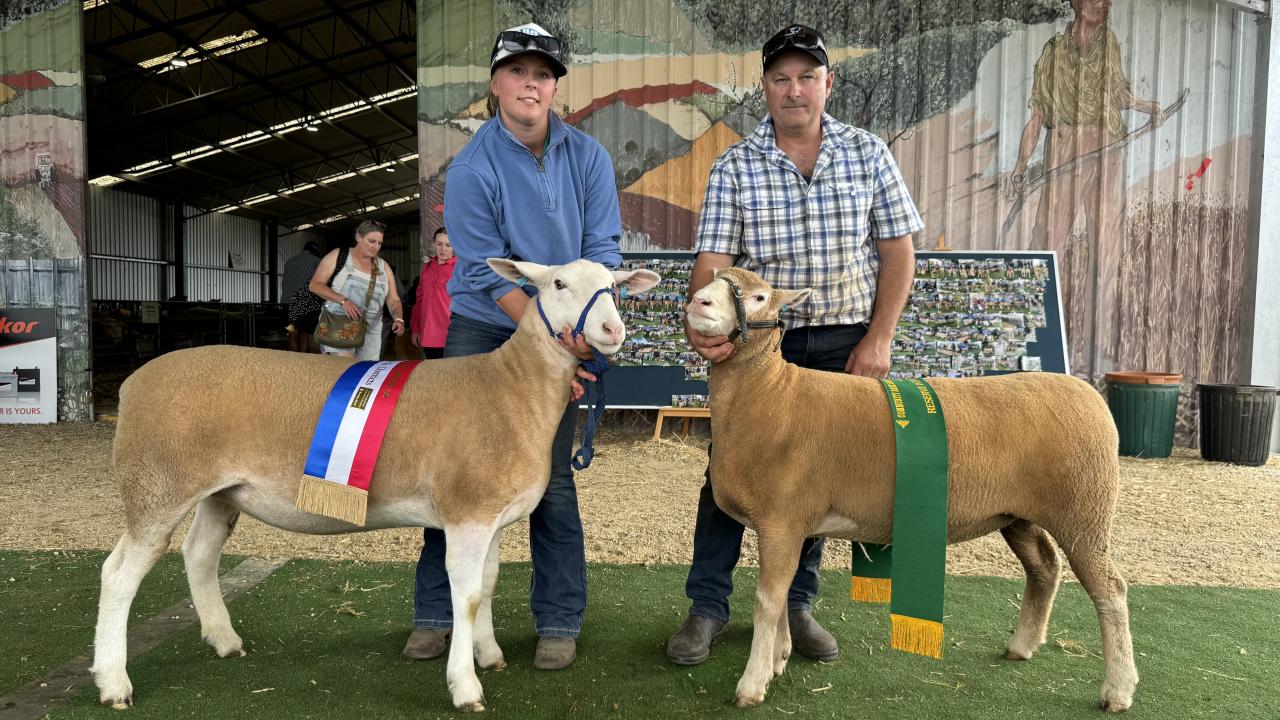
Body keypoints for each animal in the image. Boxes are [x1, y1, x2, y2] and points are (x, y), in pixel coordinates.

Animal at [92, 257, 660, 712]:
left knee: (199, 554)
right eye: (559, 283)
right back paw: (114, 681)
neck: (510, 389)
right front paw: (465, 686)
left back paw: (223, 639)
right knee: (119, 575)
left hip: (218, 491)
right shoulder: (467, 512)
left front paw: (489, 654)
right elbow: (467, 594)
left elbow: (489, 585)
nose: (611, 329)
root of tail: (130, 384)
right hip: (156, 483)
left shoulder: (491, 515)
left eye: (613, 286)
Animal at [686, 266, 1136, 707]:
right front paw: (778, 658)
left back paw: (1118, 689)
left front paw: (752, 683)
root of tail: (1090, 395)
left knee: (1110, 590)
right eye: (714, 277)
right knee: (1044, 567)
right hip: (1018, 515)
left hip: (1084, 510)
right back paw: (1022, 646)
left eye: (759, 296)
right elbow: (777, 601)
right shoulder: (787, 527)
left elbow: (767, 601)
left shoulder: (782, 520)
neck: (771, 395)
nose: (698, 301)